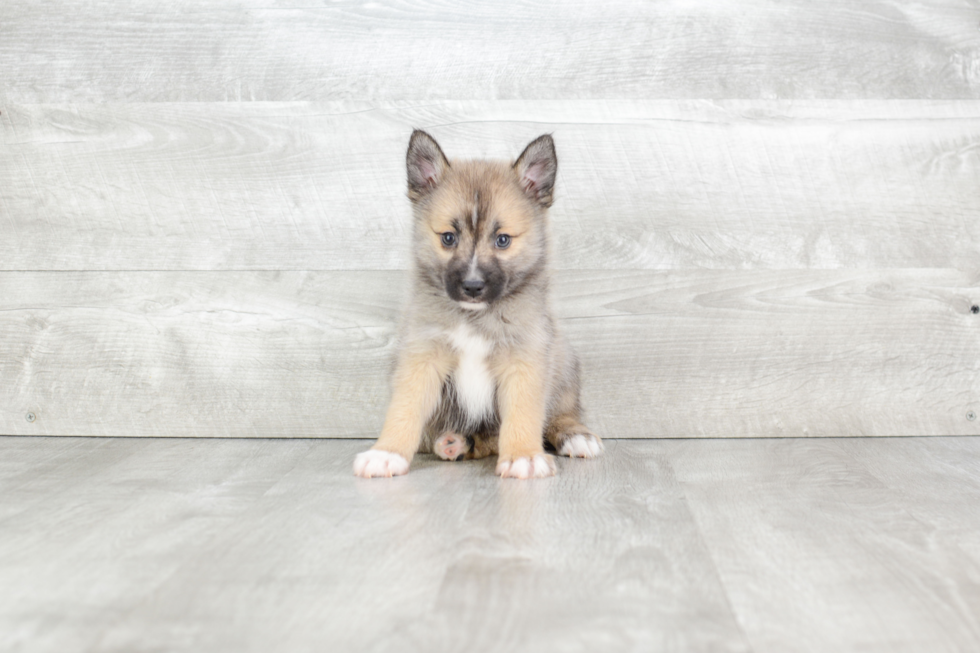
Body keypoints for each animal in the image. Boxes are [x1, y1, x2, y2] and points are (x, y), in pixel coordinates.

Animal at [348, 132, 600, 478]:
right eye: (448, 238)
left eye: (503, 240)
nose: (472, 286)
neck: (474, 318)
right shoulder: (421, 356)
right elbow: (405, 407)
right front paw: (386, 452)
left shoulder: (525, 358)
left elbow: (523, 414)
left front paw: (524, 455)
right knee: (483, 440)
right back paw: (455, 443)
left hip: (564, 362)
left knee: (560, 413)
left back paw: (575, 435)